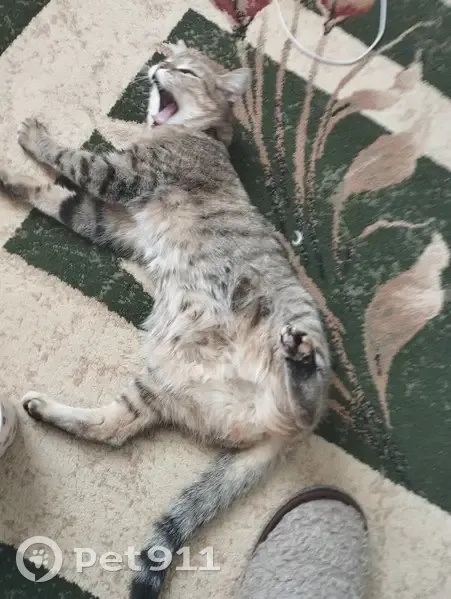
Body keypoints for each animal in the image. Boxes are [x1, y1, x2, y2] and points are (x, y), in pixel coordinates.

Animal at [0, 40, 331, 599]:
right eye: (170, 58)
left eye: (184, 69)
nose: (157, 64)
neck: (191, 133)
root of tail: (273, 428)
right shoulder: (110, 222)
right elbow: (57, 197)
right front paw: (14, 179)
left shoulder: (123, 177)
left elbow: (73, 160)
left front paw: (33, 139)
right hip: (159, 383)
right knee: (112, 428)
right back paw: (45, 411)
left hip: (298, 331)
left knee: (307, 402)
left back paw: (299, 360)